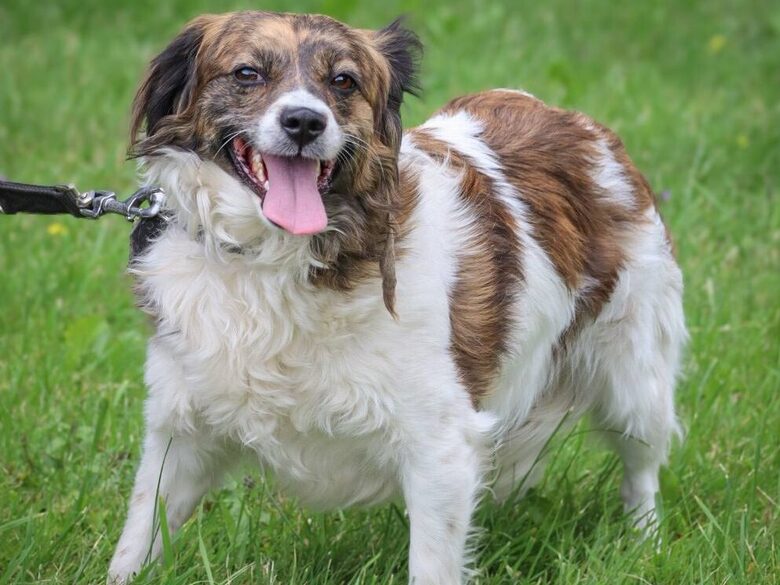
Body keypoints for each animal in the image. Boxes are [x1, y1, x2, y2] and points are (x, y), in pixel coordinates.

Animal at [108, 11, 685, 584]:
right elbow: (138, 534)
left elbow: (432, 561)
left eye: (344, 80)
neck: (281, 261)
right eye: (247, 73)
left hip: (636, 383)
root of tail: (582, 126)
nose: (304, 122)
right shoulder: (181, 428)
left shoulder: (440, 446)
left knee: (641, 469)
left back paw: (646, 545)